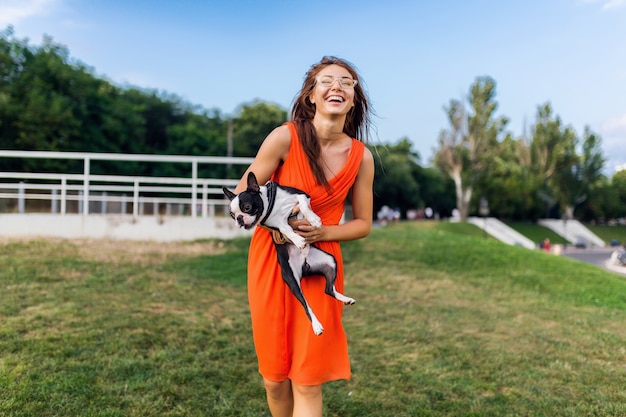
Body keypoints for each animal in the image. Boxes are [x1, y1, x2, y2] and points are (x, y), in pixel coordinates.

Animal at [222, 171, 354, 334]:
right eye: (232, 215)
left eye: (246, 207)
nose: (239, 219)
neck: (272, 205)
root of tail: (305, 267)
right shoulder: (278, 224)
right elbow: (287, 231)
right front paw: (298, 241)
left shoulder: (301, 195)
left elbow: (303, 205)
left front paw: (313, 219)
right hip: (292, 279)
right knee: (306, 304)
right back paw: (316, 325)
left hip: (330, 261)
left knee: (328, 289)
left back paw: (346, 299)